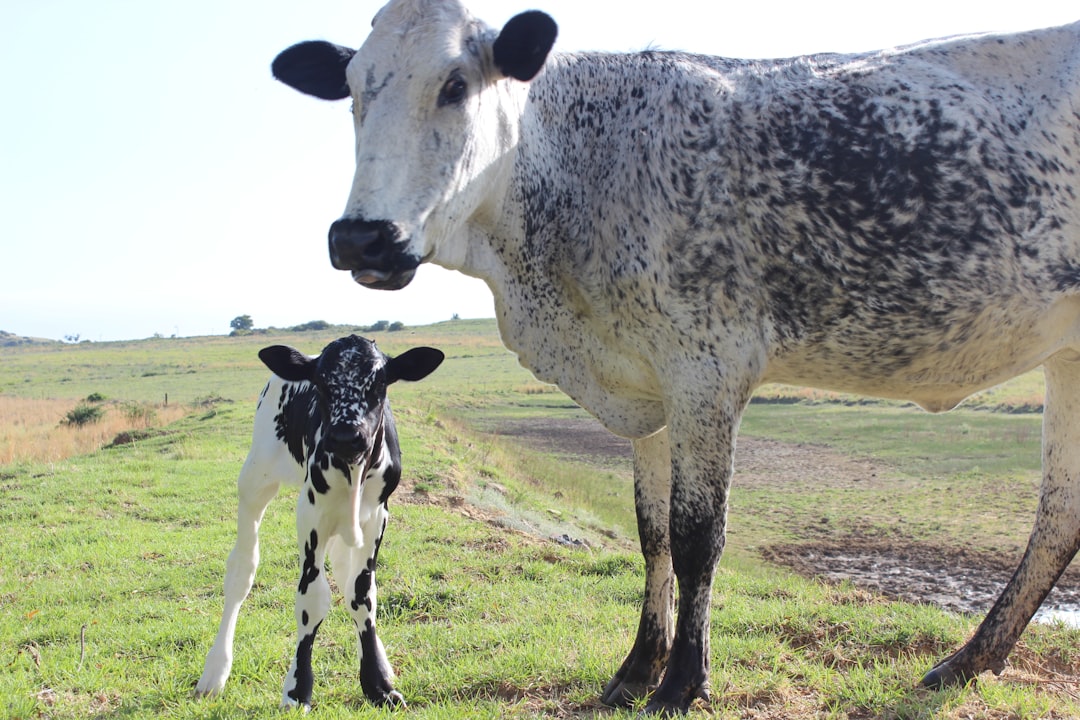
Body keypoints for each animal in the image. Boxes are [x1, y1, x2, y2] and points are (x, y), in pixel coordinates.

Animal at [195, 335, 444, 709]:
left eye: (380, 383)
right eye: (322, 384)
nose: (346, 436)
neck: (352, 472)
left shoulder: (376, 517)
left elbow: (362, 592)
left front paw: (377, 683)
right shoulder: (311, 514)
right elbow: (312, 597)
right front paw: (297, 689)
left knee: (345, 572)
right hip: (255, 479)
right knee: (242, 569)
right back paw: (214, 672)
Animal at [269, 0, 1080, 713]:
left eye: (455, 85)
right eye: (353, 90)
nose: (361, 237)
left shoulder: (707, 374)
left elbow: (696, 540)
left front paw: (683, 682)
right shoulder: (647, 392)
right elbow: (651, 532)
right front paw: (636, 667)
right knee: (1060, 515)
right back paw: (969, 660)